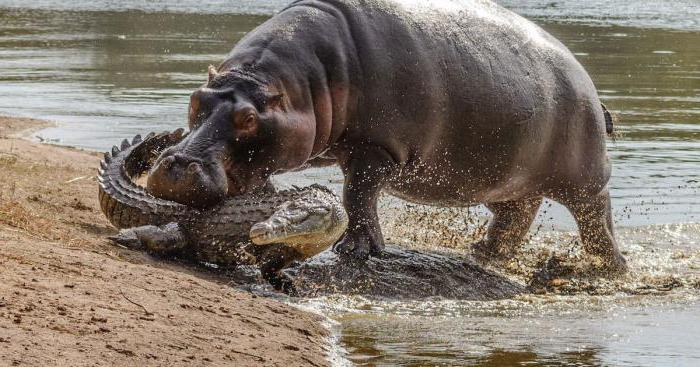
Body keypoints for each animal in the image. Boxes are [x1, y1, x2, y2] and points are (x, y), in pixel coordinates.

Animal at [146, 0, 628, 274]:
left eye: (248, 118)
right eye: (196, 99)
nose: (175, 165)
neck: (300, 85)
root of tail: (589, 84)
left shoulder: (376, 148)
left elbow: (358, 194)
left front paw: (356, 252)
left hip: (582, 177)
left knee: (595, 215)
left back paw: (605, 269)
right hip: (504, 178)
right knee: (517, 213)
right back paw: (484, 253)